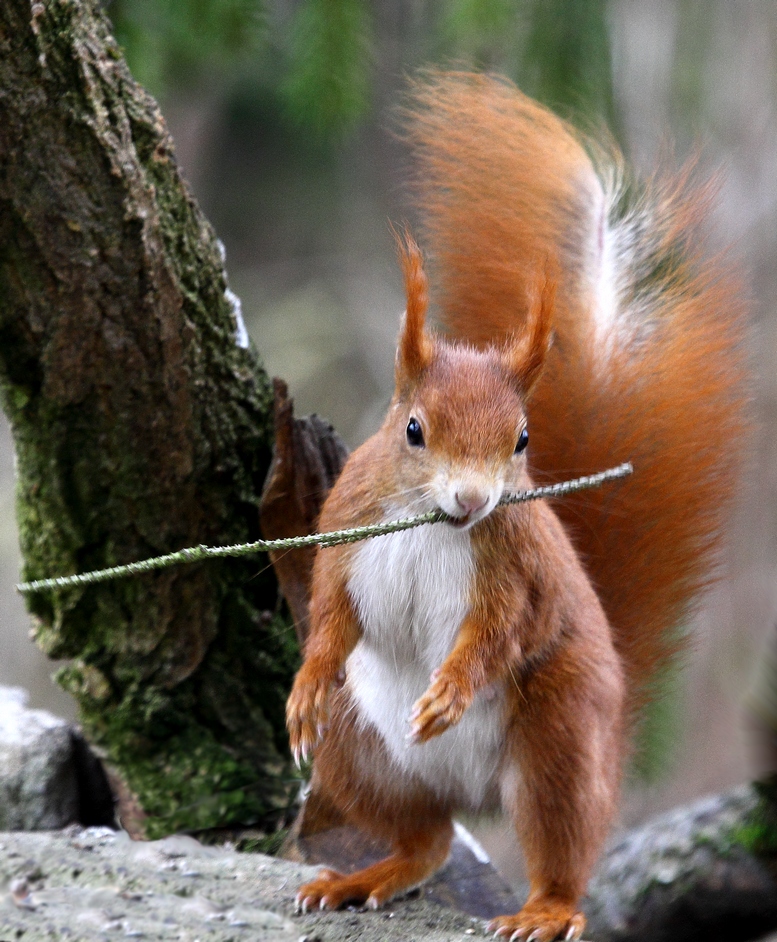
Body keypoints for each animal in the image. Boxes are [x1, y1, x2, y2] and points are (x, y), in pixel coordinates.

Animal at [284, 72, 744, 942]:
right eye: (413, 429)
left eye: (523, 439)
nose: (472, 500)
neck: (431, 528)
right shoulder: (343, 535)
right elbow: (329, 612)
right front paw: (303, 684)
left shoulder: (517, 573)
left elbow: (502, 632)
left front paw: (450, 691)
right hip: (356, 753)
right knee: (423, 841)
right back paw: (363, 874)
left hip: (558, 737)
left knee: (561, 850)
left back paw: (544, 909)